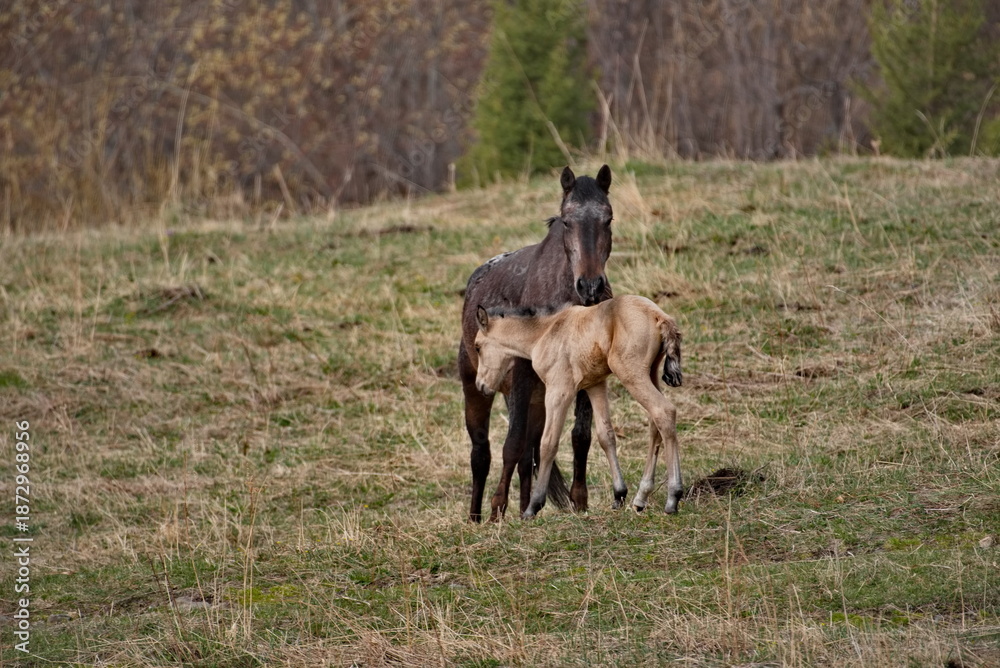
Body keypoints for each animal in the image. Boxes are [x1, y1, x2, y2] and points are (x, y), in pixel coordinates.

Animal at [459, 165, 614, 522]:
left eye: (608, 219)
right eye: (567, 221)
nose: (590, 286)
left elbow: (579, 436)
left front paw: (579, 501)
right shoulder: (522, 374)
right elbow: (511, 443)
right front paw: (496, 510)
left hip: (539, 399)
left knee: (529, 453)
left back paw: (525, 508)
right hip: (476, 387)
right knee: (481, 453)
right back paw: (476, 518)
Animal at [473, 295, 684, 519]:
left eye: (477, 347)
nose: (481, 385)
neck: (546, 332)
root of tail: (658, 315)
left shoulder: (558, 391)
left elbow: (548, 444)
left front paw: (533, 506)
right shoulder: (595, 385)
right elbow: (606, 435)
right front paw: (619, 494)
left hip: (631, 374)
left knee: (664, 412)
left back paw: (673, 496)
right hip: (651, 374)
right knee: (655, 424)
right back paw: (640, 497)